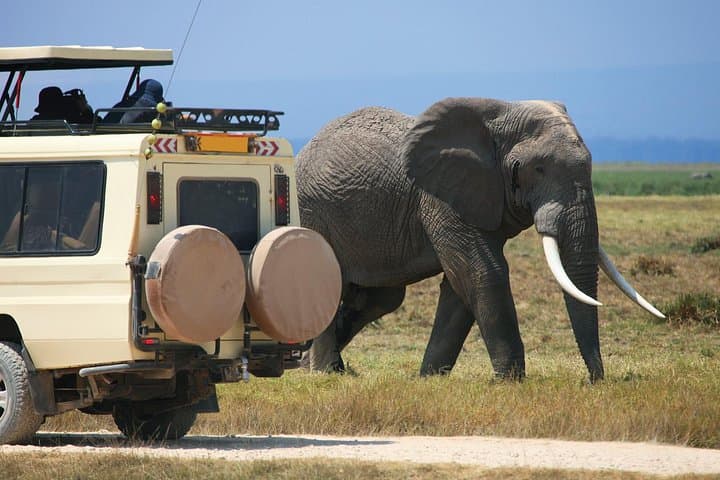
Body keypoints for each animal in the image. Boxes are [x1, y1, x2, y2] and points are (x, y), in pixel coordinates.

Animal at [296, 97, 664, 382]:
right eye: (538, 169)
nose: (594, 381)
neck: (499, 117)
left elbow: (461, 285)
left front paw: (430, 379)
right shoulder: (440, 197)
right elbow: (484, 272)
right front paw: (511, 382)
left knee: (381, 298)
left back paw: (315, 365)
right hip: (314, 212)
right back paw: (323, 372)